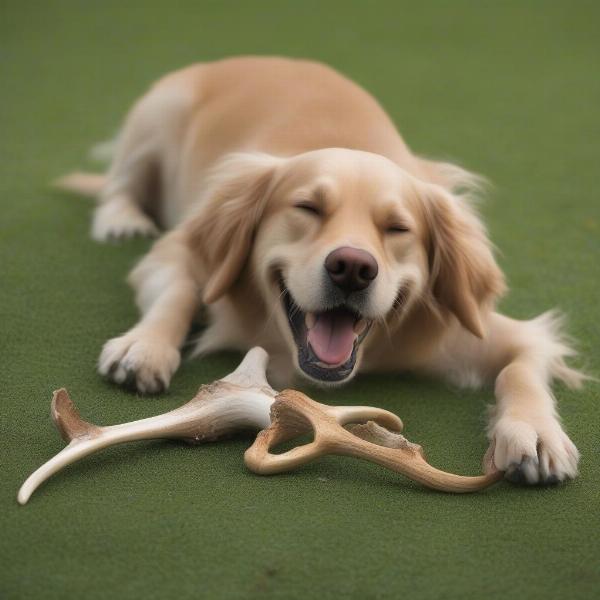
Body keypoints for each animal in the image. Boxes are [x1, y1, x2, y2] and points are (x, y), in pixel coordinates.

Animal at [59, 56, 584, 486]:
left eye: (397, 228)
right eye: (307, 207)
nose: (352, 267)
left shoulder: (476, 326)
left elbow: (521, 366)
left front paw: (534, 432)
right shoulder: (177, 250)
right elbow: (180, 291)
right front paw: (144, 347)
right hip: (155, 120)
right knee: (119, 183)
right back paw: (121, 218)